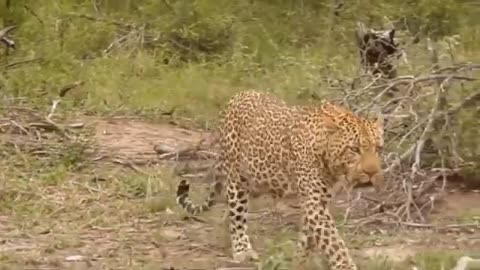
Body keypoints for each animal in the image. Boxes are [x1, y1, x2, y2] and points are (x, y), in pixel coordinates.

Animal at [174, 90, 384, 270]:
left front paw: (300, 260)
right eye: (354, 149)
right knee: (237, 213)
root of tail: (238, 95)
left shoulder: (319, 201)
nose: (372, 172)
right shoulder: (314, 201)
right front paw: (345, 265)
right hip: (238, 178)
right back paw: (242, 249)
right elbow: (333, 240)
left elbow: (310, 236)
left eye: (378, 148)